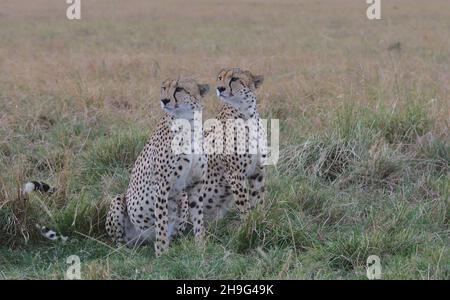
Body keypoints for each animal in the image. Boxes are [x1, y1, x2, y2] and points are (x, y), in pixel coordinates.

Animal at [105, 77, 209, 255]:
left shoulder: (196, 183)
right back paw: (127, 251)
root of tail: (143, 240)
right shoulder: (162, 185)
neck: (189, 125)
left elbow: (198, 219)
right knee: (120, 243)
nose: (164, 100)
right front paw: (162, 253)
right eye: (164, 88)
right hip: (118, 201)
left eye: (179, 89)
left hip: (182, 198)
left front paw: (200, 248)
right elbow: (161, 221)